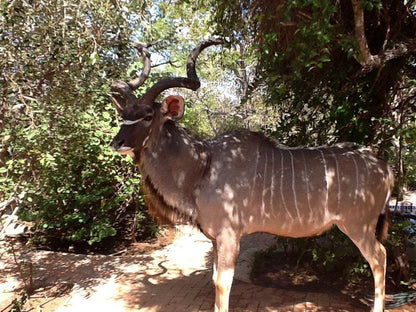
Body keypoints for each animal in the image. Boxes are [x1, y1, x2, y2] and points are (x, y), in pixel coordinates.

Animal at [109, 39, 394, 312]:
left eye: (148, 116)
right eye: (123, 115)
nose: (117, 142)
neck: (203, 166)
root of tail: (385, 167)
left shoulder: (229, 235)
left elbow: (222, 283)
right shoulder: (216, 239)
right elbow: (215, 279)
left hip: (357, 226)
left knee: (379, 257)